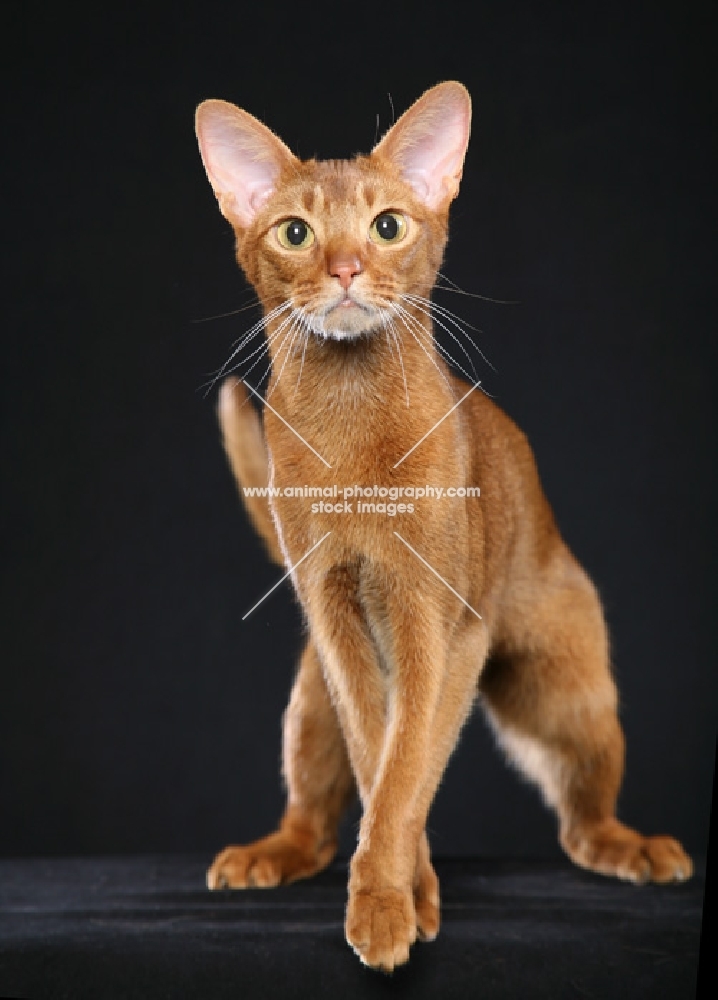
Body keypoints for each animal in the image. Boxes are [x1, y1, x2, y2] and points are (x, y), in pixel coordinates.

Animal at [194, 82, 696, 972]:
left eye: (388, 225)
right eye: (296, 233)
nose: (346, 269)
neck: (349, 424)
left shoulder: (446, 628)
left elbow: (409, 767)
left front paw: (391, 905)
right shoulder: (338, 622)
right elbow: (379, 759)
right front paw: (404, 896)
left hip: (565, 690)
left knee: (579, 819)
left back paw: (632, 846)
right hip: (310, 696)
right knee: (315, 811)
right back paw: (268, 855)